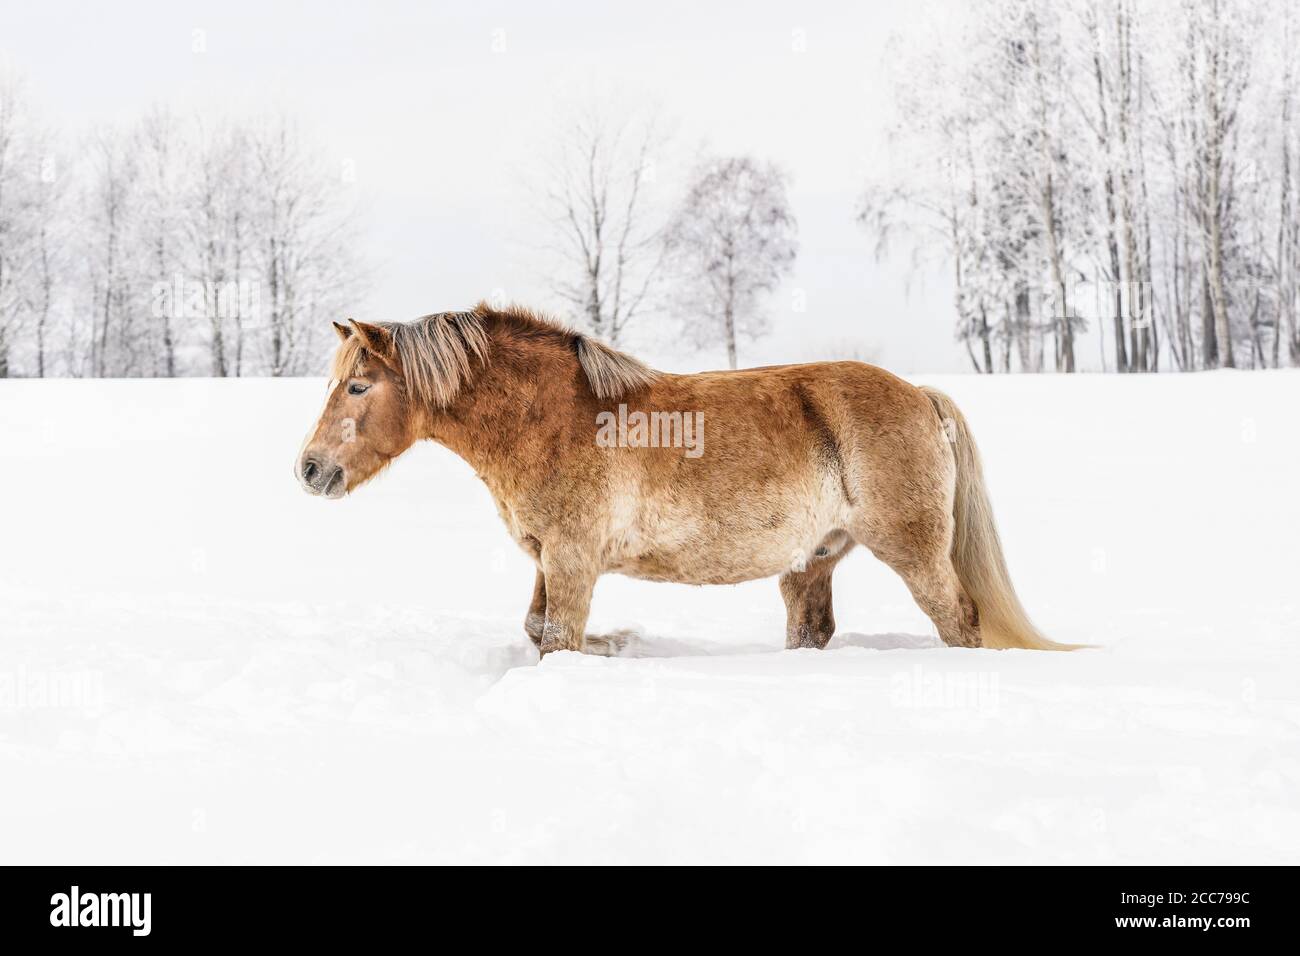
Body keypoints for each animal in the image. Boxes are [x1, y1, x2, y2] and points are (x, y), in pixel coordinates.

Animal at [296, 303, 1073, 655]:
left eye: (359, 386)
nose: (309, 468)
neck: (553, 415)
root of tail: (920, 395)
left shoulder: (573, 560)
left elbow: (559, 638)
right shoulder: (547, 558)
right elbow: (537, 628)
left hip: (912, 550)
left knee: (959, 620)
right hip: (813, 560)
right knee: (812, 627)